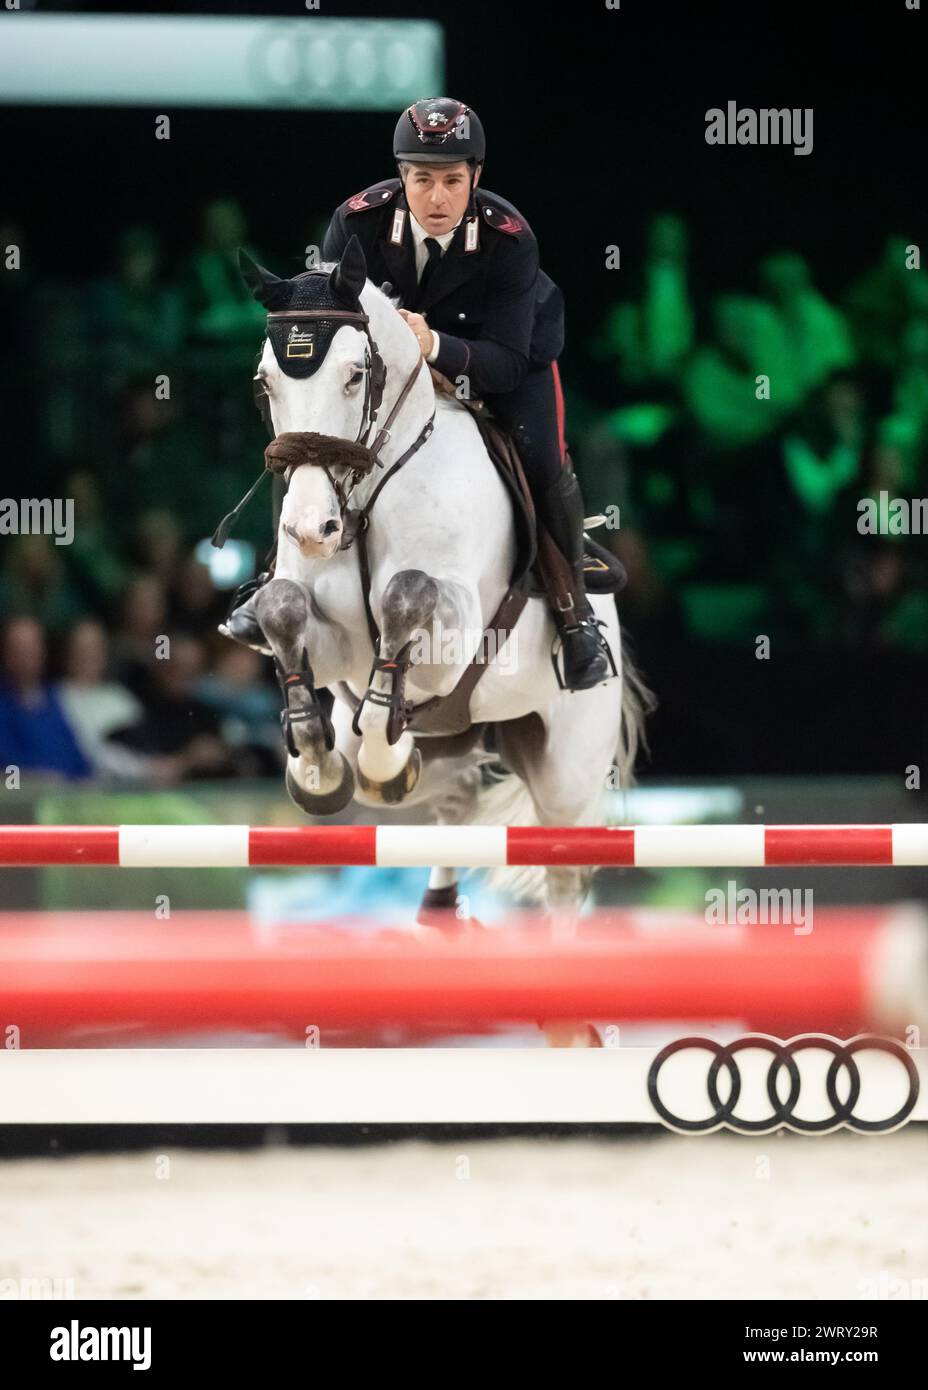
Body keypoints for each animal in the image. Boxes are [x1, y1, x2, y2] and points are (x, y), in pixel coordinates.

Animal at [236, 241, 650, 956]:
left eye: (355, 376)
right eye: (267, 384)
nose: (312, 530)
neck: (366, 495)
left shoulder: (453, 641)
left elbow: (409, 595)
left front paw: (380, 756)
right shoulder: (335, 646)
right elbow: (282, 608)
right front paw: (317, 768)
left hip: (566, 769)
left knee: (564, 872)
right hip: (457, 746)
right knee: (451, 804)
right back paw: (435, 902)